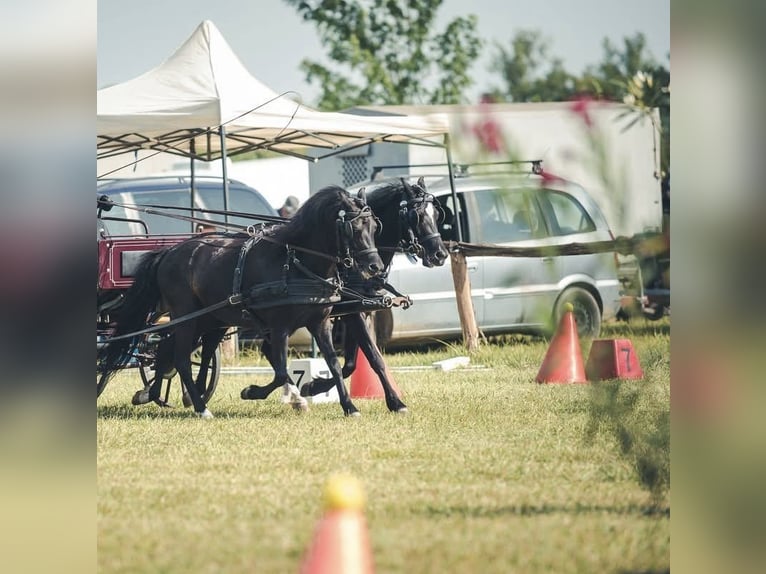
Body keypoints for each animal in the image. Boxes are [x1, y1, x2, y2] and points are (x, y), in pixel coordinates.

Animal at [97, 186, 384, 418]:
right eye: (355, 228)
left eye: (374, 227)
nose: (376, 267)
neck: (294, 261)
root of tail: (168, 252)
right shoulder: (278, 326)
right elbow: (281, 370)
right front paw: (281, 397)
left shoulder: (320, 322)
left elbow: (333, 365)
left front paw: (349, 407)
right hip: (186, 316)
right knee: (180, 359)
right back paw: (201, 408)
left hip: (204, 319)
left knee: (167, 351)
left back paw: (155, 394)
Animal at [252, 177, 450, 413]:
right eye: (416, 216)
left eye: (436, 214)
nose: (440, 254)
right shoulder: (353, 315)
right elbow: (370, 358)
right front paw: (395, 402)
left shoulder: (358, 311)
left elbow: (353, 364)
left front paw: (315, 386)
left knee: (268, 349)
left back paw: (295, 397)